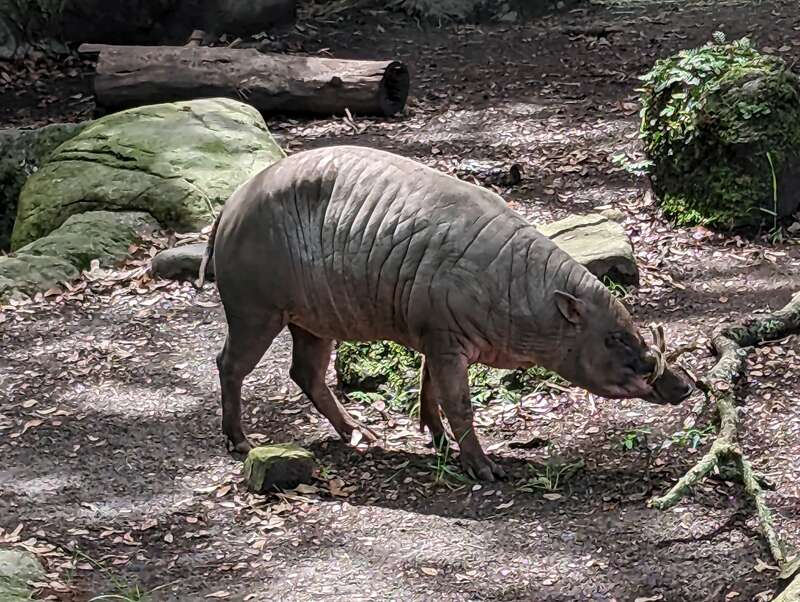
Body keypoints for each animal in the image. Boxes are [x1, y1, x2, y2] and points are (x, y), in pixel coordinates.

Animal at [201, 145, 692, 481]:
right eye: (615, 338)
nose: (684, 386)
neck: (518, 287)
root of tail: (227, 209)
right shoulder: (445, 339)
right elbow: (458, 402)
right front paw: (483, 467)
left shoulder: (433, 338)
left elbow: (428, 388)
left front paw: (436, 442)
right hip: (255, 310)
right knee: (230, 364)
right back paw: (239, 439)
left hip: (312, 320)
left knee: (305, 372)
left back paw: (361, 434)